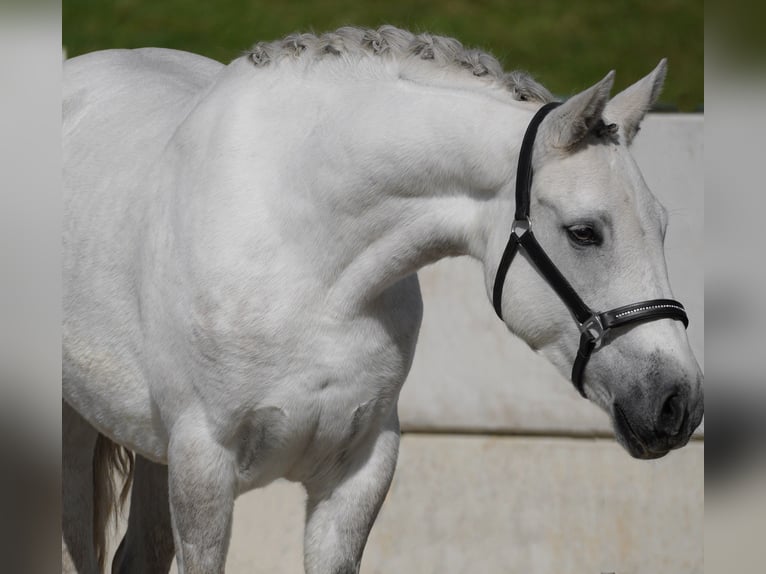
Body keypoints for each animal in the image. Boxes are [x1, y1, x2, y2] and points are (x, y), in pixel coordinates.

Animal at [63, 25, 704, 574]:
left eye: (664, 224)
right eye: (584, 232)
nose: (678, 404)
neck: (306, 256)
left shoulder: (359, 472)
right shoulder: (204, 469)